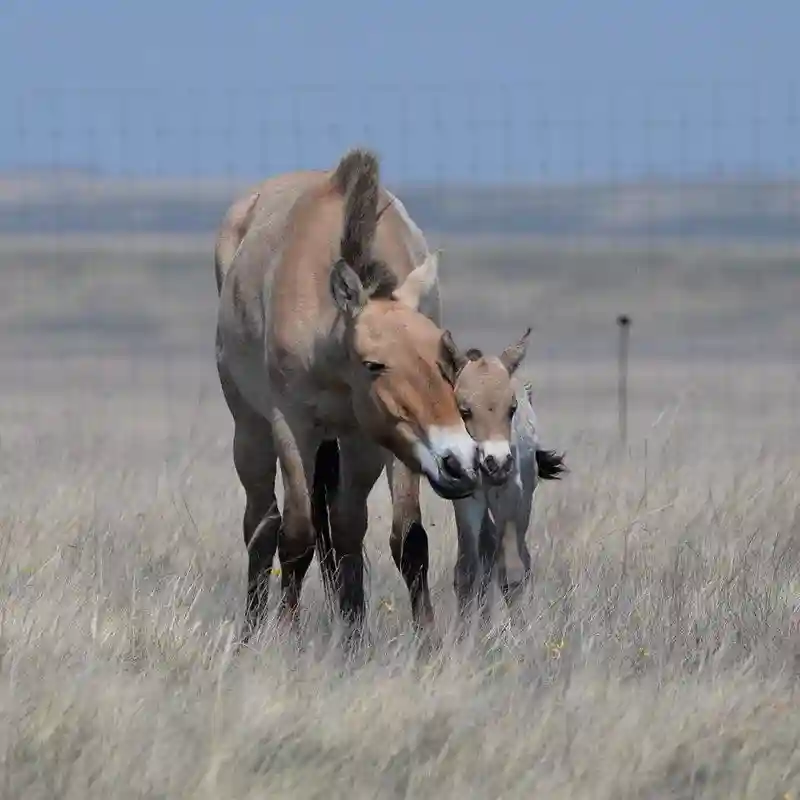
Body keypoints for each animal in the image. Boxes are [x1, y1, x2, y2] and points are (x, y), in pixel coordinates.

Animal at [212, 147, 478, 640]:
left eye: (444, 356)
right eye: (374, 364)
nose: (461, 462)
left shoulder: (374, 438)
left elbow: (390, 536)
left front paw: (380, 638)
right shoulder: (293, 426)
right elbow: (297, 536)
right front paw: (289, 636)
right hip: (250, 430)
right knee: (263, 523)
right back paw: (251, 631)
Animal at [454, 328, 564, 620]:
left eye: (511, 408)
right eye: (465, 410)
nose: (497, 463)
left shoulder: (510, 494)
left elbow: (513, 572)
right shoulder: (467, 500)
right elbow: (468, 571)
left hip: (522, 501)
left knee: (517, 558)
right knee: (488, 554)